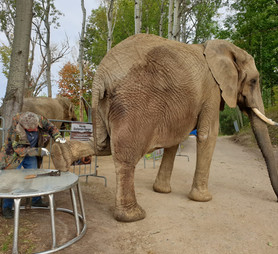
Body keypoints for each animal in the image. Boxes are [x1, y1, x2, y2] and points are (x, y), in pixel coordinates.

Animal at [50, 33, 278, 222]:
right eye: (254, 81)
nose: (275, 201)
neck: (221, 47)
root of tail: (101, 76)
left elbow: (174, 139)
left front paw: (161, 191)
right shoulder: (212, 90)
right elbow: (208, 135)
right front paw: (203, 199)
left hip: (101, 105)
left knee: (103, 144)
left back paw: (59, 156)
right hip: (134, 102)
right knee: (125, 156)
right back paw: (133, 216)